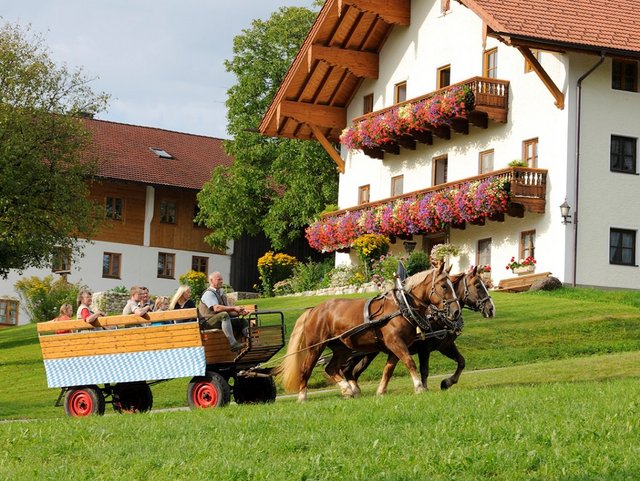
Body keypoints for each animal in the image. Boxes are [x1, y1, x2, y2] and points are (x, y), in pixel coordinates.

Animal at [276, 262, 460, 402]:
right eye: (444, 286)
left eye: (452, 285)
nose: (456, 311)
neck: (402, 306)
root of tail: (313, 310)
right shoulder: (396, 343)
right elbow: (410, 362)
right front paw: (419, 387)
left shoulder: (395, 347)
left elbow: (388, 370)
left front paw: (381, 391)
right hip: (315, 347)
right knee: (306, 369)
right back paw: (302, 397)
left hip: (343, 348)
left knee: (332, 368)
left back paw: (348, 390)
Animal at [340, 266, 496, 394]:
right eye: (478, 285)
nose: (491, 309)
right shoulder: (424, 348)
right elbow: (424, 369)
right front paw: (425, 387)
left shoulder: (445, 346)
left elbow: (461, 361)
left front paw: (447, 382)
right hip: (362, 352)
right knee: (348, 370)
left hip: (368, 353)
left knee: (352, 371)